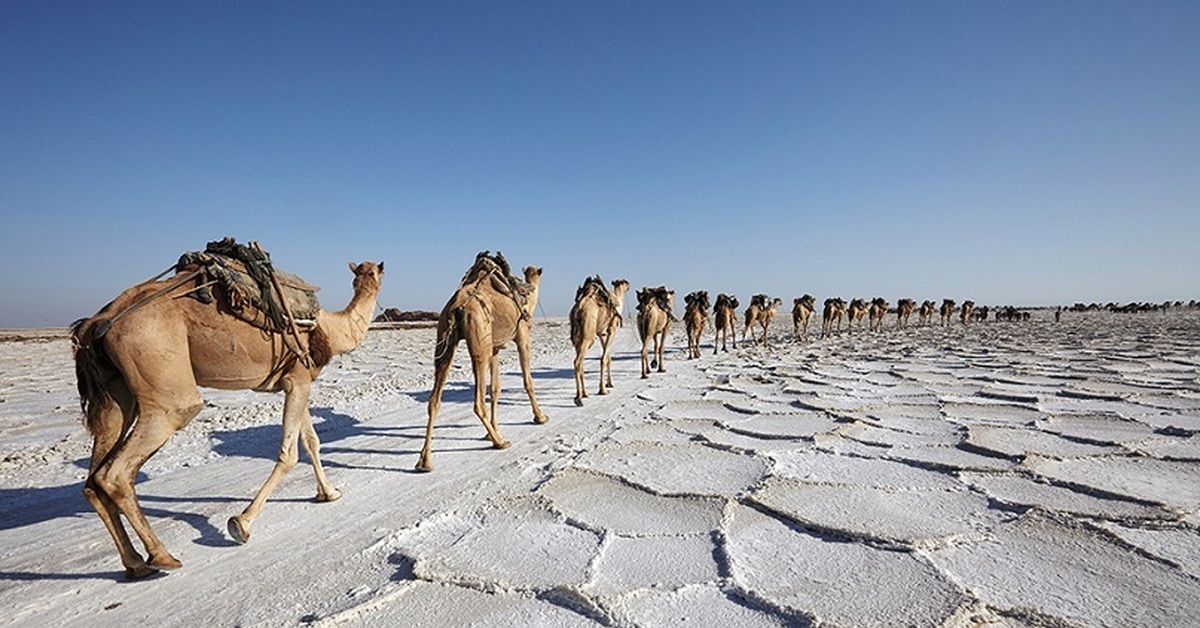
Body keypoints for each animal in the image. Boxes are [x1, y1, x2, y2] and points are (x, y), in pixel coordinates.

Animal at [72, 242, 381, 581]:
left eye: (369, 272)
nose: (373, 273)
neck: (329, 328)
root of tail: (96, 324)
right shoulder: (298, 380)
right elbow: (290, 454)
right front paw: (241, 524)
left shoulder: (296, 381)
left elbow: (311, 442)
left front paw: (329, 493)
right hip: (164, 385)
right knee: (116, 472)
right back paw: (162, 555)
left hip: (115, 397)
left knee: (94, 479)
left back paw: (135, 563)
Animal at [420, 250, 547, 470]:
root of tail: (457, 307)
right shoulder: (522, 334)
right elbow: (527, 381)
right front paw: (540, 416)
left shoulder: (494, 348)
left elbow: (495, 389)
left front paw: (491, 431)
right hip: (479, 341)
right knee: (478, 401)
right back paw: (500, 442)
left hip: (445, 338)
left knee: (434, 399)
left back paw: (425, 461)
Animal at [568, 276, 633, 408]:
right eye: (625, 282)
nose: (629, 285)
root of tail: (578, 309)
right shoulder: (612, 329)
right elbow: (603, 358)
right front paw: (603, 389)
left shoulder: (601, 333)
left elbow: (607, 357)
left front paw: (609, 383)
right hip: (588, 335)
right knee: (577, 361)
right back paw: (578, 398)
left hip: (577, 337)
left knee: (580, 362)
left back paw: (585, 393)